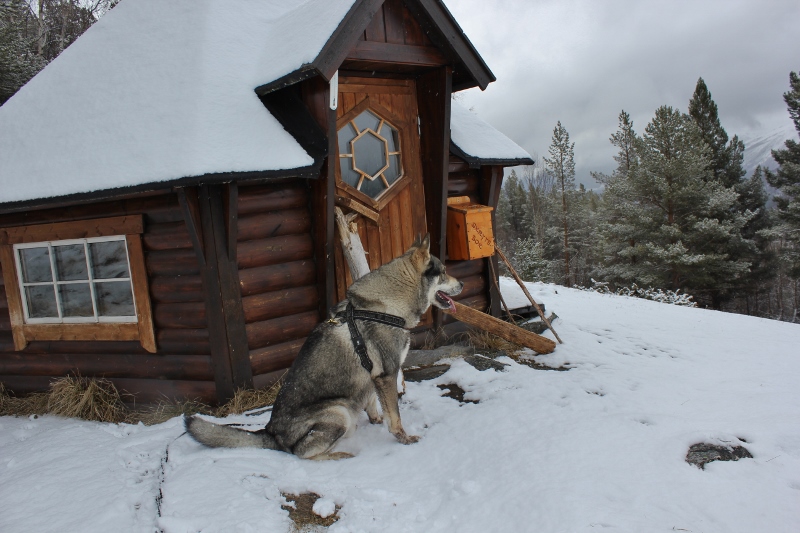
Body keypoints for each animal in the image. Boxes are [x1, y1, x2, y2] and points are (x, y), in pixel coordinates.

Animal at [185, 234, 463, 460]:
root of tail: (271, 433)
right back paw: (339, 455)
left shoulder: (372, 377)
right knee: (302, 453)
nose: (462, 285)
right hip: (339, 412)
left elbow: (374, 404)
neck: (385, 308)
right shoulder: (387, 374)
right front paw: (404, 439)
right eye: (443, 272)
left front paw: (376, 420)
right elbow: (395, 417)